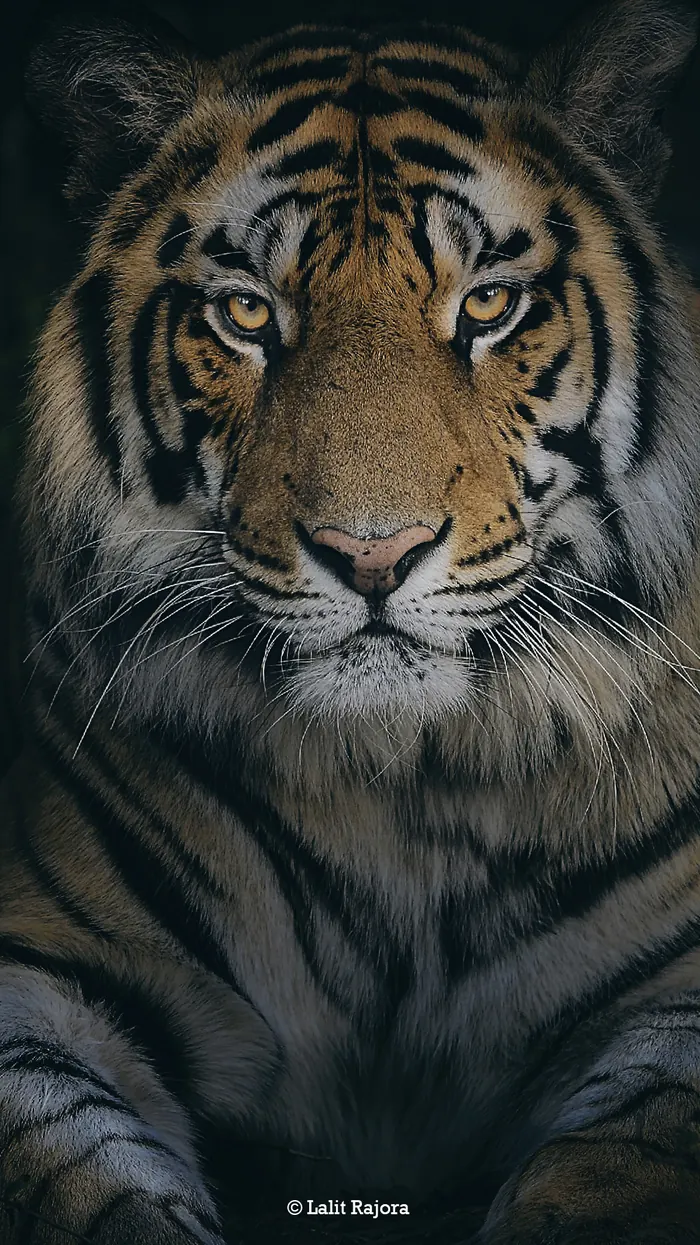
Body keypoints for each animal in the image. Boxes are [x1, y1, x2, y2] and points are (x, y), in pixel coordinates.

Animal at [2, 0, 700, 1240]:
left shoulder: (672, 995)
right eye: (246, 313)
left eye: (487, 304)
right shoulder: (50, 972)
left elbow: (616, 1166)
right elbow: (80, 1178)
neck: (399, 794)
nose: (372, 553)